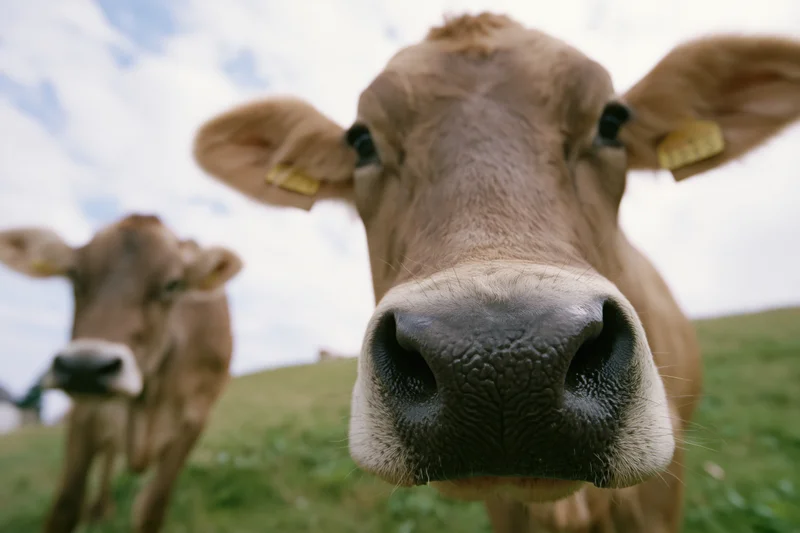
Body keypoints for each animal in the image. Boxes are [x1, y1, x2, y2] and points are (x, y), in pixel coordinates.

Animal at [0, 213, 243, 533]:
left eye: (172, 284)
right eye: (74, 274)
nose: (84, 367)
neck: (147, 400)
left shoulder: (195, 418)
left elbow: (152, 509)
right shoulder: (84, 413)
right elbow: (66, 506)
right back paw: (100, 508)